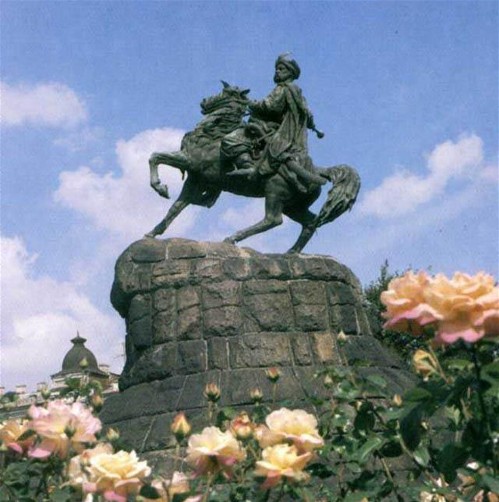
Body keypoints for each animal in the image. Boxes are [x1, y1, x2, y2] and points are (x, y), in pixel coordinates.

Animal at [146, 84, 362, 255]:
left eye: (224, 92)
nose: (204, 101)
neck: (212, 134)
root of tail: (317, 171)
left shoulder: (189, 161)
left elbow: (155, 156)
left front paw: (160, 187)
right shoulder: (196, 179)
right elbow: (178, 206)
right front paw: (153, 232)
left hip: (275, 192)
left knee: (273, 220)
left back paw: (233, 237)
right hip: (294, 206)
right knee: (310, 223)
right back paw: (291, 252)